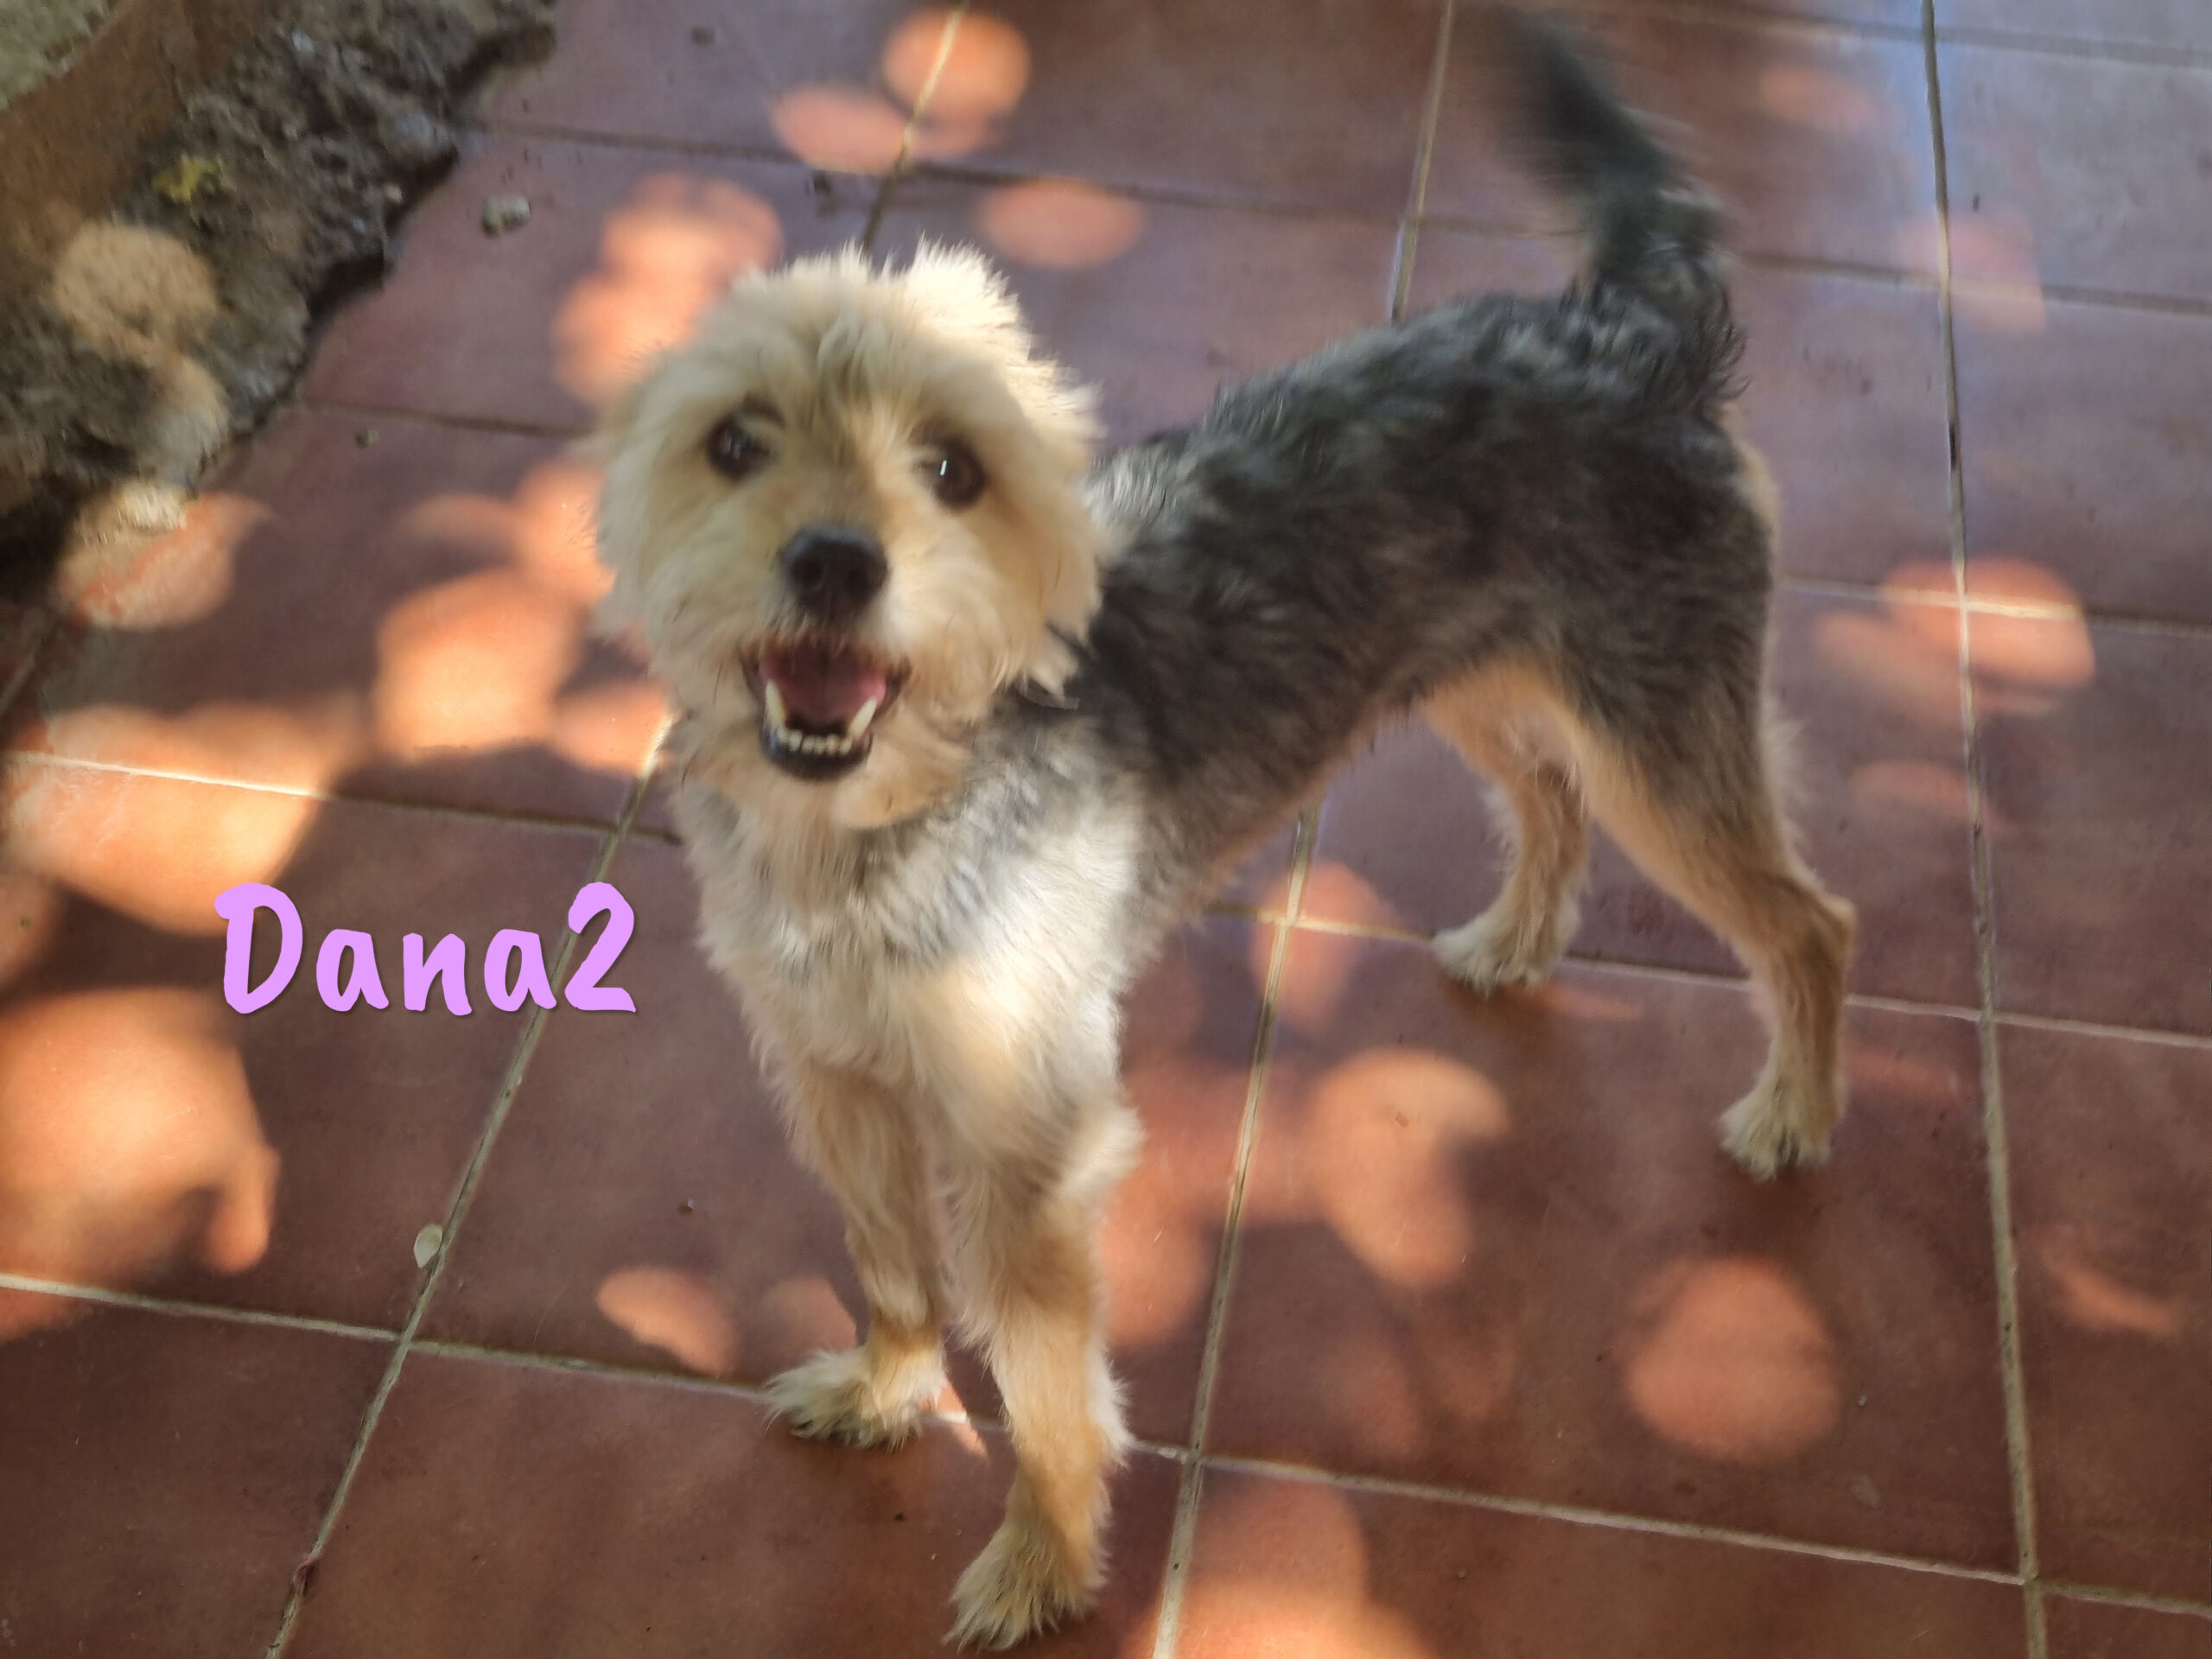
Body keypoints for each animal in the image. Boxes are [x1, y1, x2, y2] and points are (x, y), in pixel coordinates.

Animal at [591, 15, 1855, 1646]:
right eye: (736, 444)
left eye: (951, 469)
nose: (834, 562)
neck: (876, 824)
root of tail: (1634, 336)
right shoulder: (837, 1077)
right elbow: (890, 1264)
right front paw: (891, 1387)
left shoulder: (1029, 1140)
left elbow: (1049, 1388)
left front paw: (1043, 1560)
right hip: (1480, 678)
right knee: (1548, 796)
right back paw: (1519, 937)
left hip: (1661, 742)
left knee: (1806, 921)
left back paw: (1796, 1110)